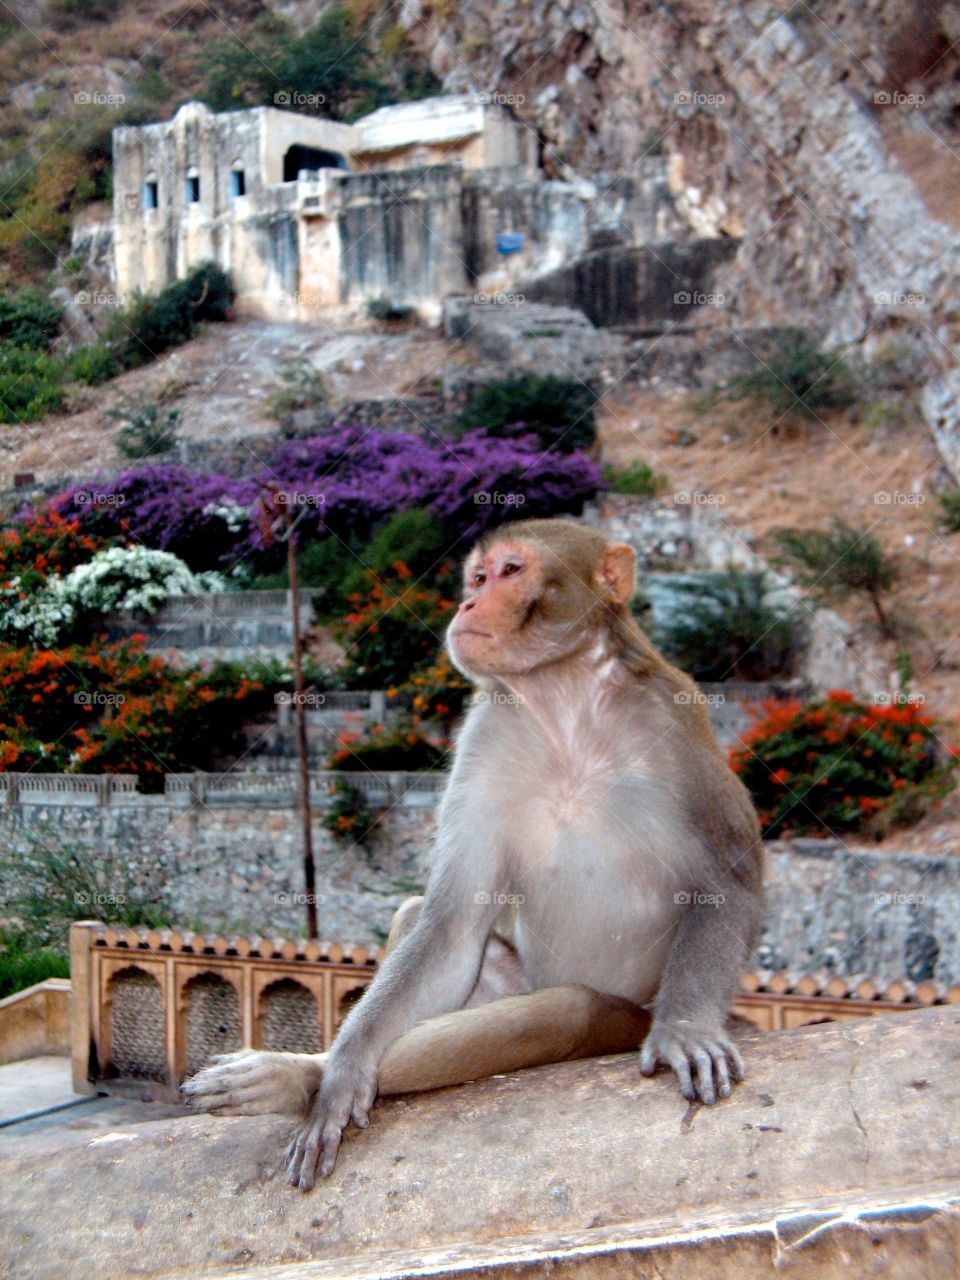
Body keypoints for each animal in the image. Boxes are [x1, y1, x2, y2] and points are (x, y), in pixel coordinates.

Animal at [183, 518, 764, 1190]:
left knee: (564, 1013)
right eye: (478, 577)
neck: (566, 698)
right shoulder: (486, 733)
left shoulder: (676, 719)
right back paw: (303, 1076)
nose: (466, 604)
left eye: (511, 571)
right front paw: (343, 1070)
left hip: (624, 1018)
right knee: (429, 928)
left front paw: (686, 1030)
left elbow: (727, 880)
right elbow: (453, 924)